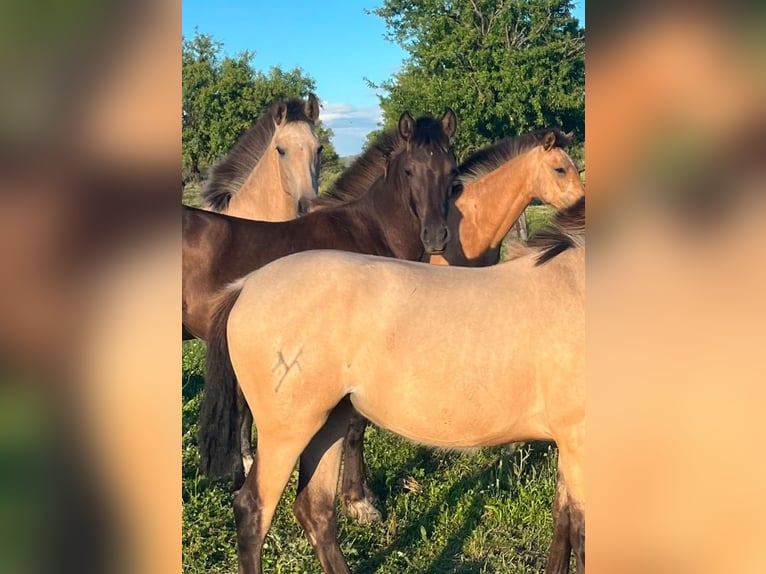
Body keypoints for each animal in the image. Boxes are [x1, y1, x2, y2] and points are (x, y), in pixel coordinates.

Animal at [199, 197, 586, 574]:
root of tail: (245, 285)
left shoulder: (570, 445)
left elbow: (563, 520)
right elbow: (580, 534)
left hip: (328, 425)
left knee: (315, 510)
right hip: (287, 432)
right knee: (252, 510)